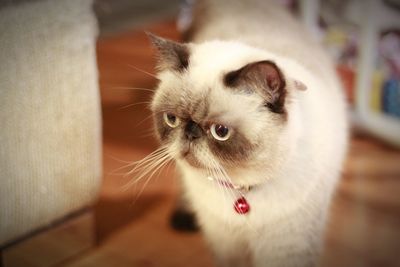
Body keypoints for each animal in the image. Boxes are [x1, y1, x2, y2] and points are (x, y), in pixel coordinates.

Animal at [143, 0, 346, 267]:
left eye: (220, 132)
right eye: (172, 119)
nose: (190, 133)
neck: (241, 190)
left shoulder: (287, 247)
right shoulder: (225, 243)